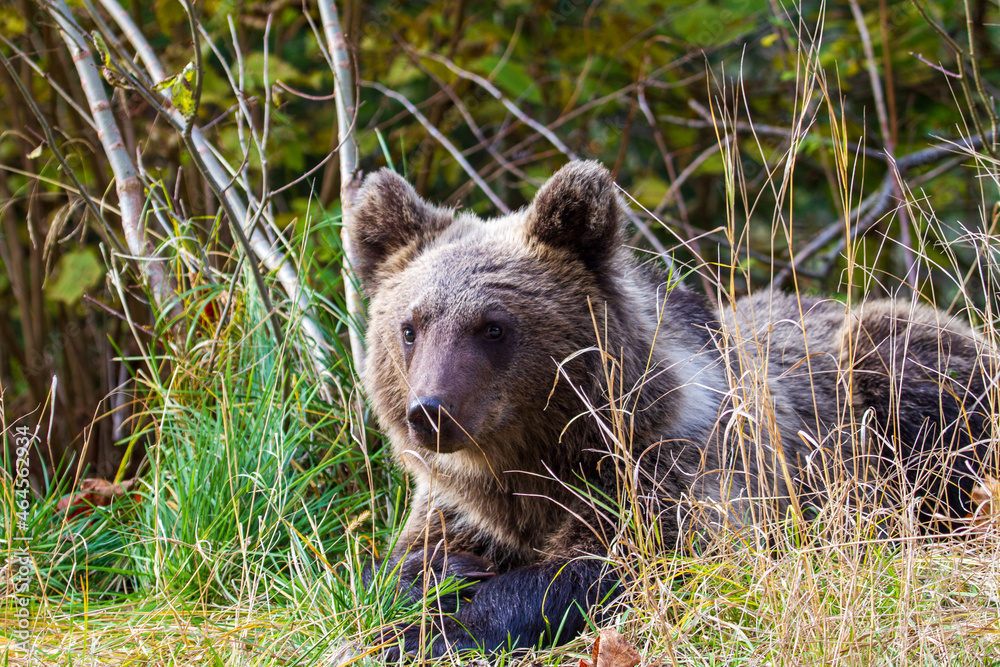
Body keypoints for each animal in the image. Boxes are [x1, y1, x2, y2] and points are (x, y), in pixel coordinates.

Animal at [347, 160, 995, 658]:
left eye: (493, 326)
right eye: (410, 328)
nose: (431, 411)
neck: (535, 456)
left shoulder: (678, 467)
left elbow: (630, 561)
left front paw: (433, 631)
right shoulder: (460, 502)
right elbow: (399, 565)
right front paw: (433, 585)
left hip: (896, 378)